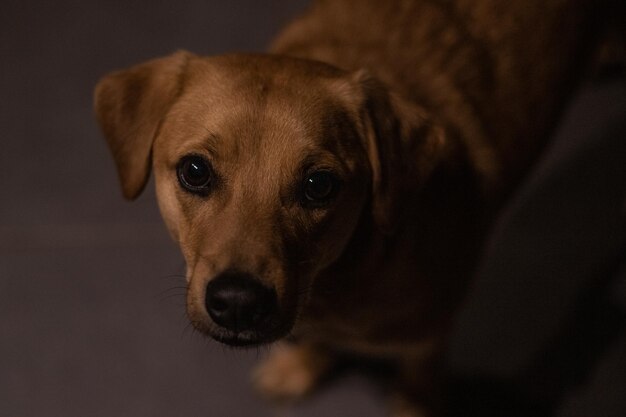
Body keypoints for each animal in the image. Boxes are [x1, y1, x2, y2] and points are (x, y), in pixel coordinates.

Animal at [94, 1, 608, 414]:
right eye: (195, 171)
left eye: (319, 185)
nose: (239, 303)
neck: (338, 280)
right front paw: (300, 366)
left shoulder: (431, 333)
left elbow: (418, 378)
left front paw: (411, 407)